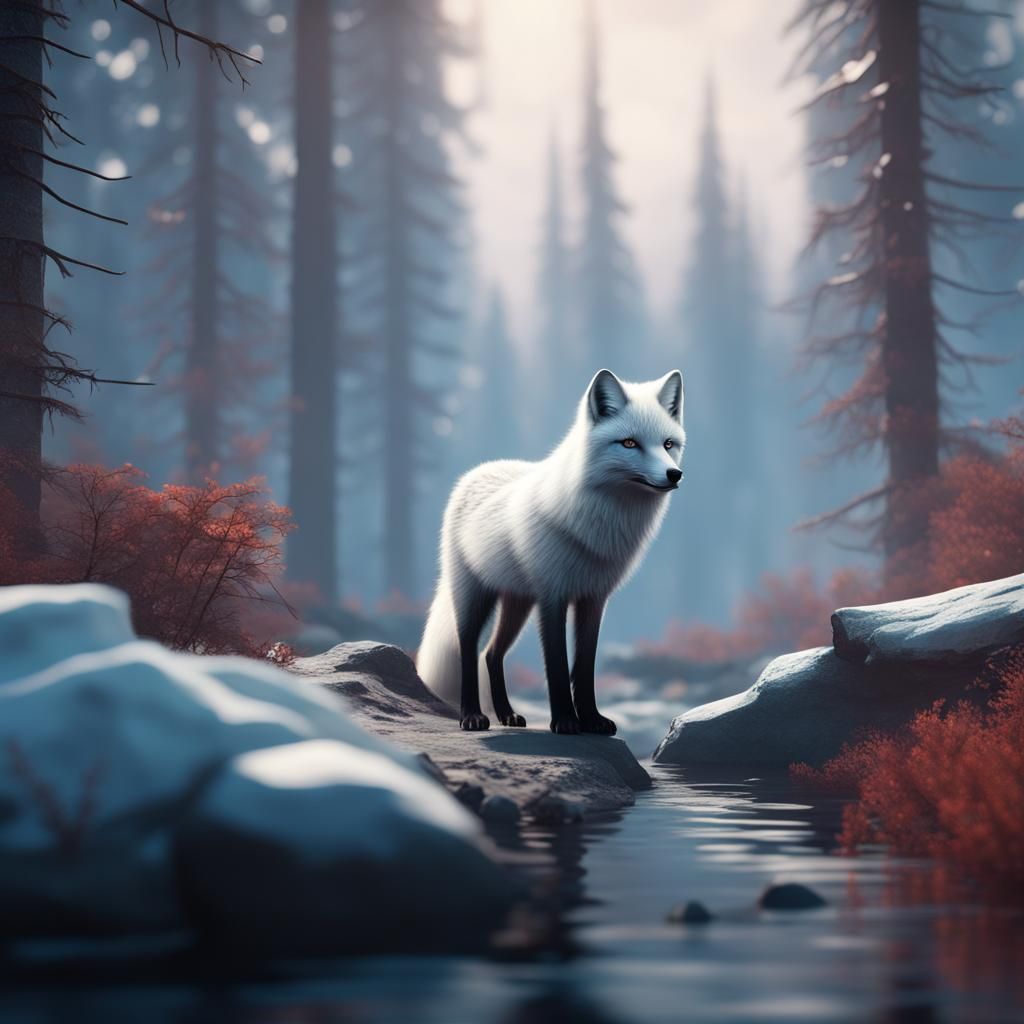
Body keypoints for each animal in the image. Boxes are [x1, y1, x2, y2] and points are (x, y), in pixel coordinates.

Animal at [417, 368, 684, 735]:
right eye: (629, 443)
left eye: (668, 444)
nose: (674, 474)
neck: (598, 525)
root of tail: (478, 471)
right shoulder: (552, 597)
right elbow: (557, 665)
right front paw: (566, 721)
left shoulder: (594, 598)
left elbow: (584, 667)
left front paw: (592, 720)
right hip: (474, 596)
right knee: (470, 652)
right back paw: (472, 716)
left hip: (518, 603)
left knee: (492, 654)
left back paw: (508, 715)